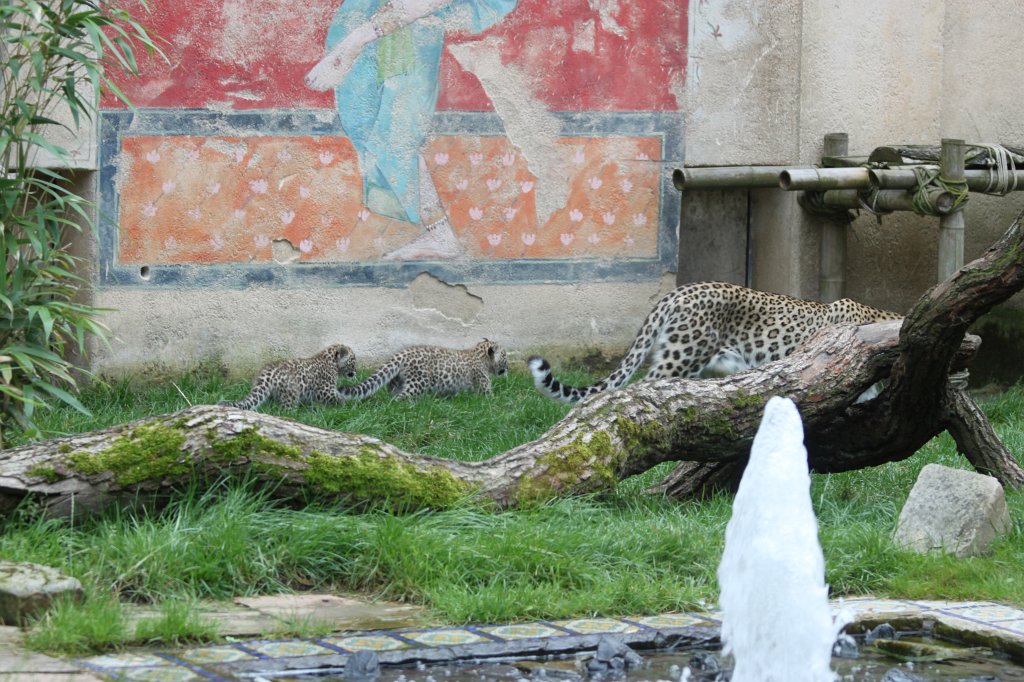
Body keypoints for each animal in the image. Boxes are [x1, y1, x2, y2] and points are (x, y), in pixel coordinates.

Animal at [221, 344, 356, 410]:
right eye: (353, 361)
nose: (356, 372)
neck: (332, 362)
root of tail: (268, 373)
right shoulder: (326, 390)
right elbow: (339, 398)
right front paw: (348, 407)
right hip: (291, 393)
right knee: (286, 410)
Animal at [339, 339, 508, 400]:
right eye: (505, 356)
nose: (507, 368)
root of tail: (401, 354)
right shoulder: (483, 384)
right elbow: (492, 398)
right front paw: (503, 403)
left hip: (397, 380)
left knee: (393, 393)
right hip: (418, 382)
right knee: (401, 397)